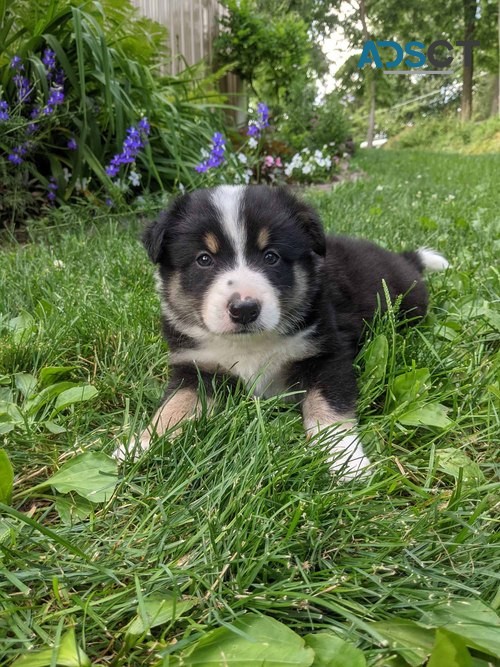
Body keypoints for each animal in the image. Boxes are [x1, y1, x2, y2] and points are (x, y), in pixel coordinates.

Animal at [114, 185, 450, 480]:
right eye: (203, 259)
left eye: (271, 256)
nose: (244, 309)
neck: (250, 344)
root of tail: (402, 259)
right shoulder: (196, 366)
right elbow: (173, 408)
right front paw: (139, 447)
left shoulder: (326, 353)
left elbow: (328, 408)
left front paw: (346, 462)